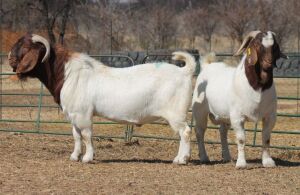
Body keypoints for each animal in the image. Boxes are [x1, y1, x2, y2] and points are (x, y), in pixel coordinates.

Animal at [8, 33, 196, 163]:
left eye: (23, 46)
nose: (9, 57)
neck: (68, 74)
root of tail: (184, 71)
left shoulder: (83, 115)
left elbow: (86, 135)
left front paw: (88, 158)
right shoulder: (73, 116)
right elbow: (76, 136)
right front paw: (74, 156)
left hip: (176, 114)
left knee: (185, 132)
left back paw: (181, 160)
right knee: (182, 134)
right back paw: (179, 158)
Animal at [192, 30, 288, 168]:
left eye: (274, 46)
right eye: (257, 44)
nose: (268, 63)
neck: (258, 88)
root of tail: (207, 66)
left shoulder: (269, 116)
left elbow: (266, 138)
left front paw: (268, 162)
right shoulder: (238, 117)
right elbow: (241, 139)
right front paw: (241, 163)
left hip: (225, 115)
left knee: (222, 131)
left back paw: (227, 157)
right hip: (200, 112)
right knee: (200, 132)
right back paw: (204, 158)